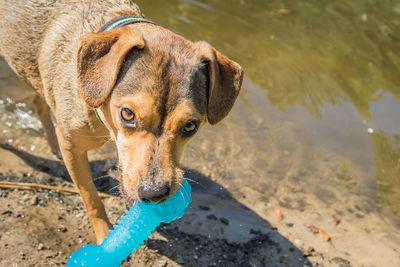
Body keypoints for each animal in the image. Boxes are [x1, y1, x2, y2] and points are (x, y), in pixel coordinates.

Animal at [0, 0, 244, 245]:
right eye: (127, 114)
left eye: (190, 126)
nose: (154, 192)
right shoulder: (73, 147)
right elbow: (91, 198)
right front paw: (104, 234)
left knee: (39, 103)